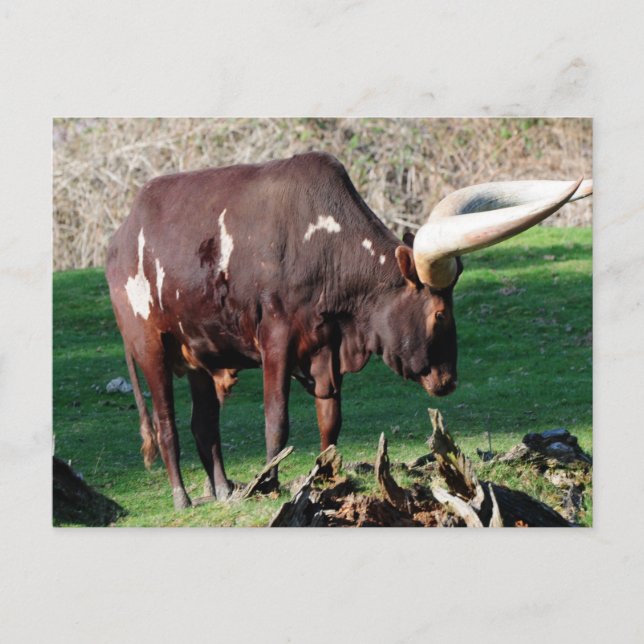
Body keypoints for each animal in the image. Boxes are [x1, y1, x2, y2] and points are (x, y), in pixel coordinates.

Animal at [105, 152, 592, 509]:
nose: (448, 381)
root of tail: (120, 237)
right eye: (439, 315)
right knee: (166, 424)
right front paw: (270, 482)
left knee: (203, 423)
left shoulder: (326, 348)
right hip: (150, 345)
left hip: (202, 354)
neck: (323, 245)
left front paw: (326, 475)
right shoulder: (277, 339)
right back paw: (183, 497)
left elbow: (331, 420)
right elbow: (276, 419)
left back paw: (223, 489)